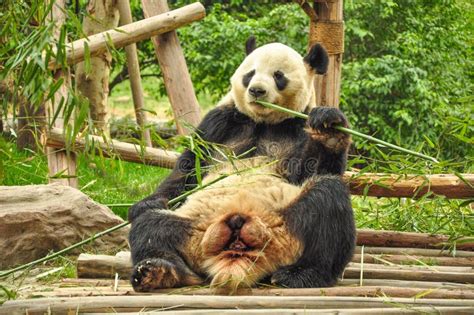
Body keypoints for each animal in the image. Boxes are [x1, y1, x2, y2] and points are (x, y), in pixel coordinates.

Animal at [128, 38, 354, 292]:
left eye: (278, 75)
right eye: (250, 73)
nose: (256, 90)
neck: (263, 121)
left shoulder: (299, 124)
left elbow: (316, 169)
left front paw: (329, 128)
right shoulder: (219, 122)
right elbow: (189, 169)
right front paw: (147, 202)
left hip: (289, 223)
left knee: (328, 200)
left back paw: (301, 274)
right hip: (194, 229)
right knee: (150, 227)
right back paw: (159, 271)